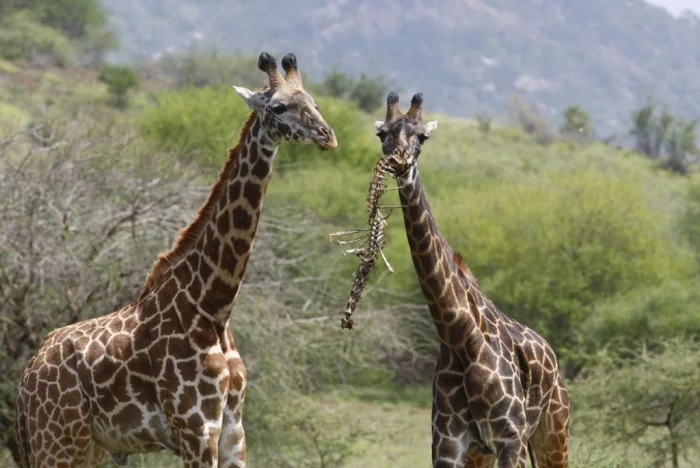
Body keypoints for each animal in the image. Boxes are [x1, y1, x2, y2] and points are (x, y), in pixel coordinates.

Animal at [14, 52, 337, 468]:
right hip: (57, 442)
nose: (328, 136)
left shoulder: (234, 429)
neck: (214, 305)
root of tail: (26, 378)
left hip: (87, 446)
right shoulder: (196, 428)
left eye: (314, 102)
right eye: (279, 107)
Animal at [372, 92, 570, 468]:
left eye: (422, 136)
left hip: (554, 434)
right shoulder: (448, 444)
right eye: (382, 134)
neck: (458, 334)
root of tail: (553, 357)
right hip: (483, 452)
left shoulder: (510, 439)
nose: (398, 160)